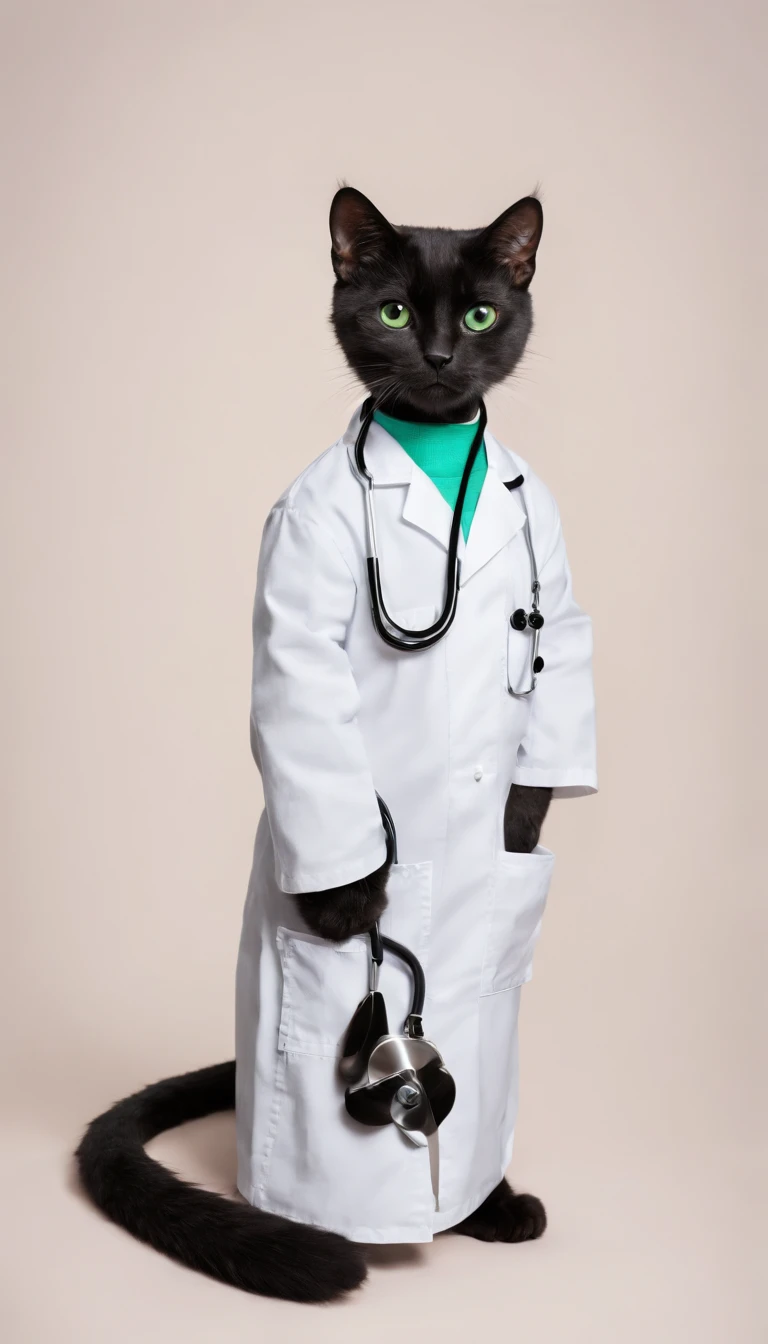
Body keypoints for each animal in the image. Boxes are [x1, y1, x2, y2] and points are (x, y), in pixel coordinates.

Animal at [76, 189, 554, 1300]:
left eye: (478, 315)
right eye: (392, 313)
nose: (437, 355)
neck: (435, 444)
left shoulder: (555, 557)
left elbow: (566, 693)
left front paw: (518, 817)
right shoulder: (296, 565)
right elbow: (302, 685)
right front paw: (347, 903)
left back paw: (485, 1202)